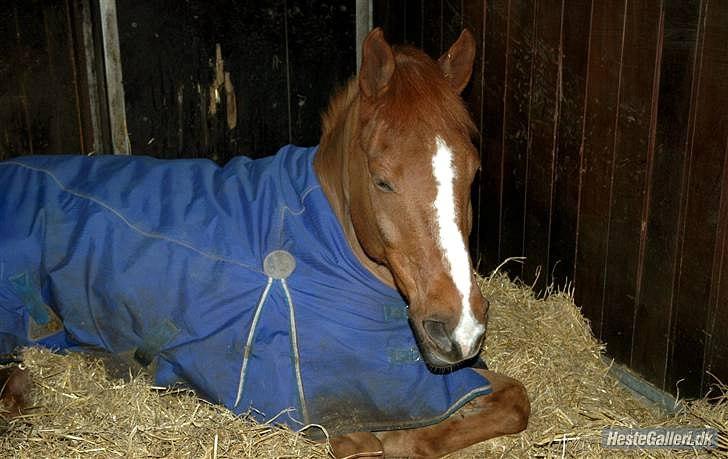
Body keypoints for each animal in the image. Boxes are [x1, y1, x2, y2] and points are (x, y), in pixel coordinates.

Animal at [0, 29, 528, 459]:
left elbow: (515, 399)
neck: (325, 240)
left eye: (474, 173)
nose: (460, 327)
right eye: (382, 181)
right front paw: (394, 438)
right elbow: (372, 441)